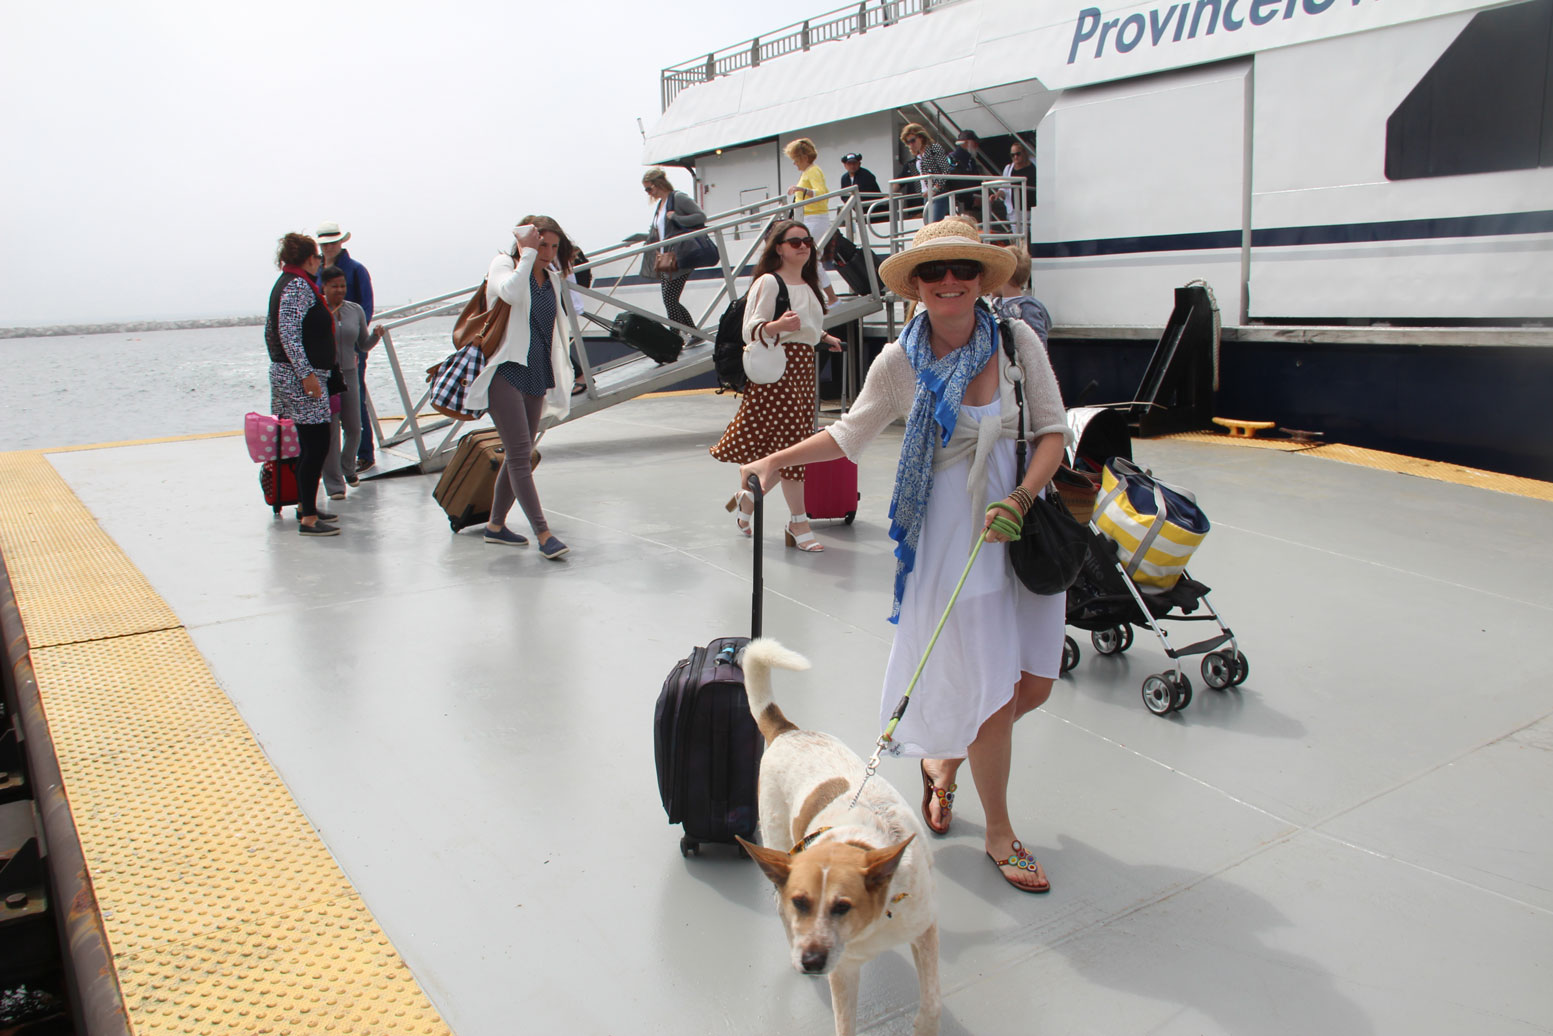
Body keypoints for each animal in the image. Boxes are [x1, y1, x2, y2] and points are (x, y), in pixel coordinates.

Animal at [736, 639, 938, 1036]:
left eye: (842, 906)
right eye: (802, 903)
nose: (810, 961)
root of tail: (787, 730)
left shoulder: (924, 930)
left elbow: (933, 1001)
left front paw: (925, 1025)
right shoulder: (843, 970)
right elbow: (845, 1024)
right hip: (777, 840)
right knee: (777, 900)